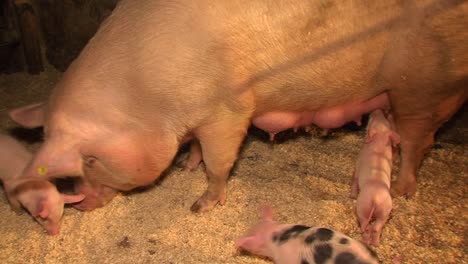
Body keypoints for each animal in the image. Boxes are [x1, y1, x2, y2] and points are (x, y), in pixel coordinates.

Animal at [8, 0, 468, 211]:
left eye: (89, 160)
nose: (81, 201)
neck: (145, 97)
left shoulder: (227, 110)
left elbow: (219, 162)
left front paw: (200, 205)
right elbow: (195, 148)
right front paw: (186, 167)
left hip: (422, 86)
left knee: (419, 140)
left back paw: (405, 191)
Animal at [352, 109, 398, 245]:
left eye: (371, 121)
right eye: (386, 120)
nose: (377, 110)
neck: (380, 141)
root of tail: (375, 198)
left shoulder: (359, 161)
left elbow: (354, 178)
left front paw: (352, 195)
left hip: (363, 206)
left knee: (366, 226)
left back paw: (366, 242)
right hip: (385, 209)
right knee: (377, 227)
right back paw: (376, 244)